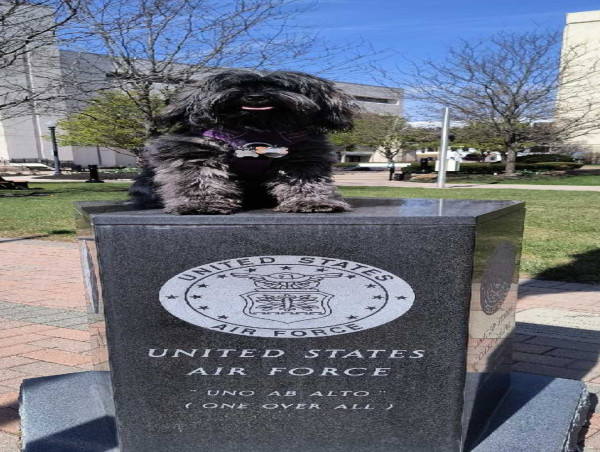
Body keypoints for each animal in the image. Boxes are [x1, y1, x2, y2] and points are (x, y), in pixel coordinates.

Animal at [130, 69, 356, 214]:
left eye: (278, 86)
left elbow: (305, 182)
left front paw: (311, 201)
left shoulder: (302, 158)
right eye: (237, 86)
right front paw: (202, 204)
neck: (256, 129)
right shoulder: (195, 153)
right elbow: (200, 178)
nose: (256, 97)